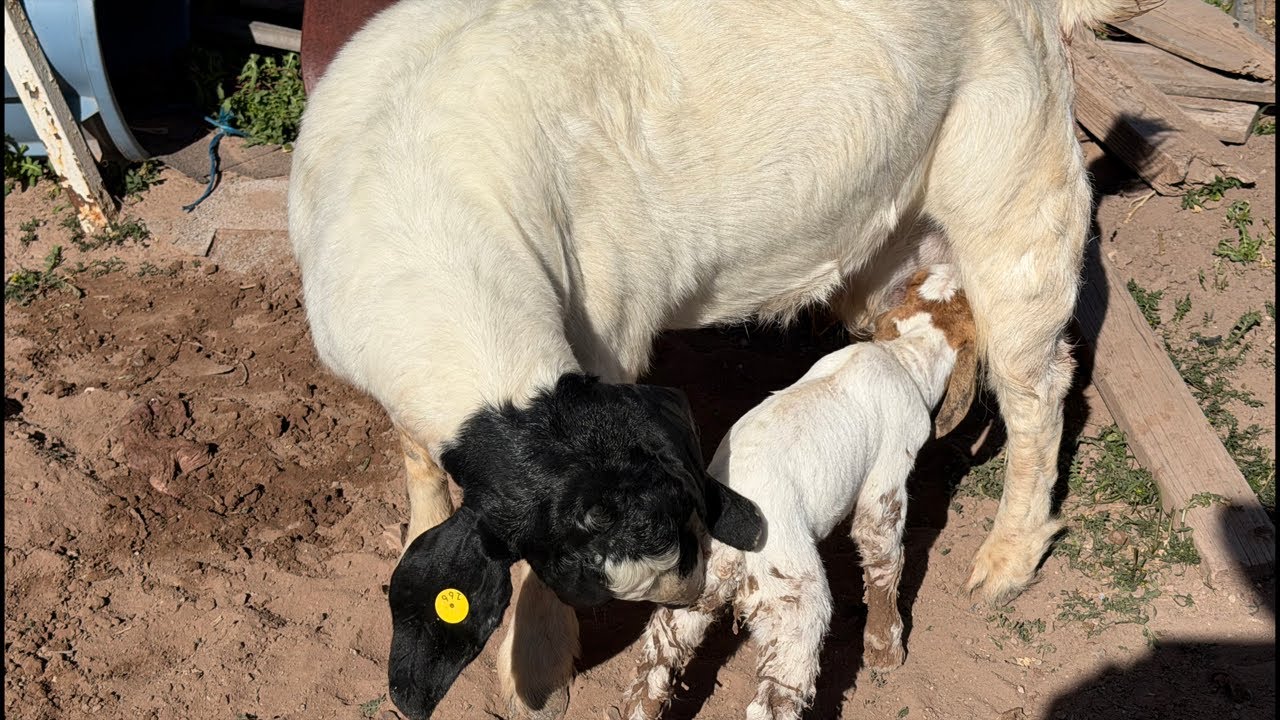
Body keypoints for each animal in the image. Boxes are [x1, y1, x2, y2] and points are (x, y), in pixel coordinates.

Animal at [619, 265, 977, 720]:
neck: (903, 356)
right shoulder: (889, 472)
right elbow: (883, 555)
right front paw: (886, 650)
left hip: (696, 582)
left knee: (659, 654)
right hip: (791, 592)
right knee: (775, 695)